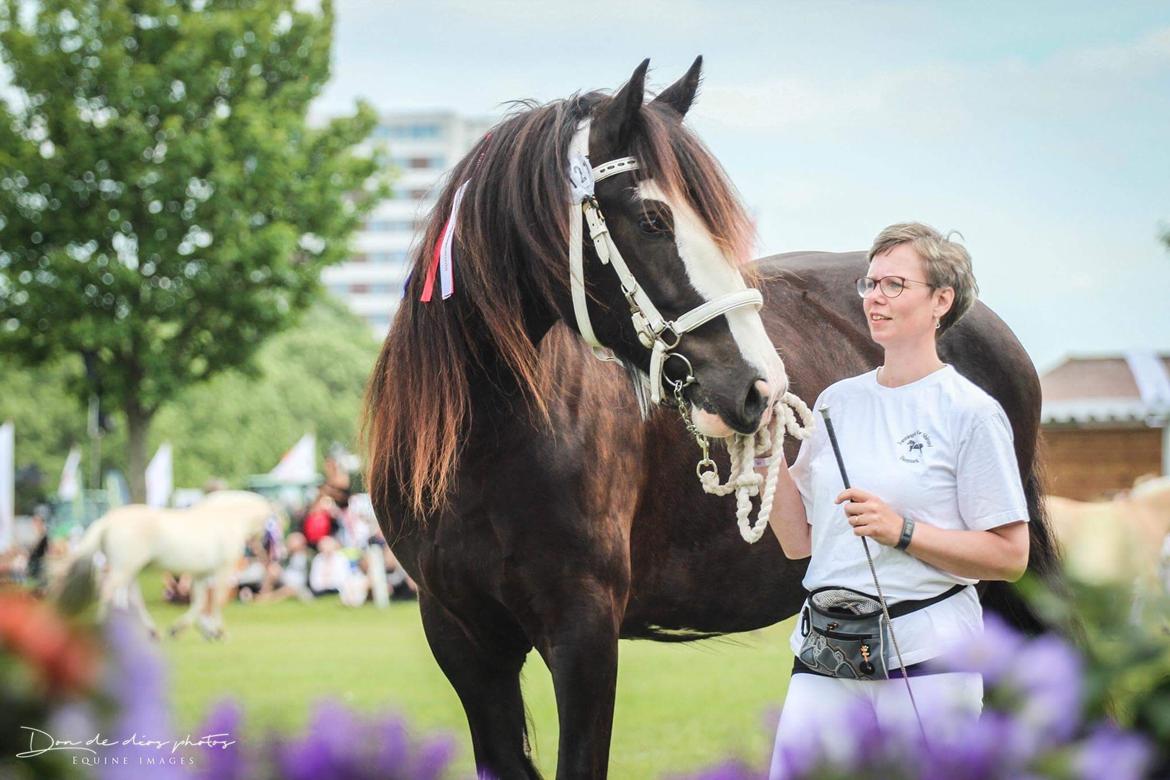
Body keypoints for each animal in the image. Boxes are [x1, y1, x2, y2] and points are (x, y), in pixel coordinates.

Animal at [65, 493, 279, 640]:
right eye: (272, 525)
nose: (273, 557)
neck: (227, 519)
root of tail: (107, 521)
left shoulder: (201, 575)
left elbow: (199, 603)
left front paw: (190, 630)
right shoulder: (222, 570)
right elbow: (215, 601)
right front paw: (219, 632)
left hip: (128, 569)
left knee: (133, 599)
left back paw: (152, 632)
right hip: (123, 569)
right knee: (108, 592)